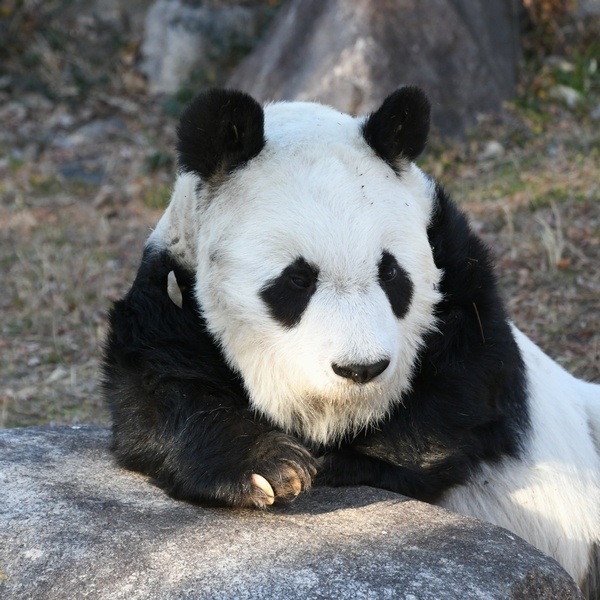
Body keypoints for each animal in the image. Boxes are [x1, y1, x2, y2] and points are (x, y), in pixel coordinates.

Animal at [103, 85, 600, 596]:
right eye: (297, 280)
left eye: (391, 273)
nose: (361, 369)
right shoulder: (171, 293)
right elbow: (160, 393)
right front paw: (271, 467)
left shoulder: (457, 268)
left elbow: (466, 384)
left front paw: (344, 463)